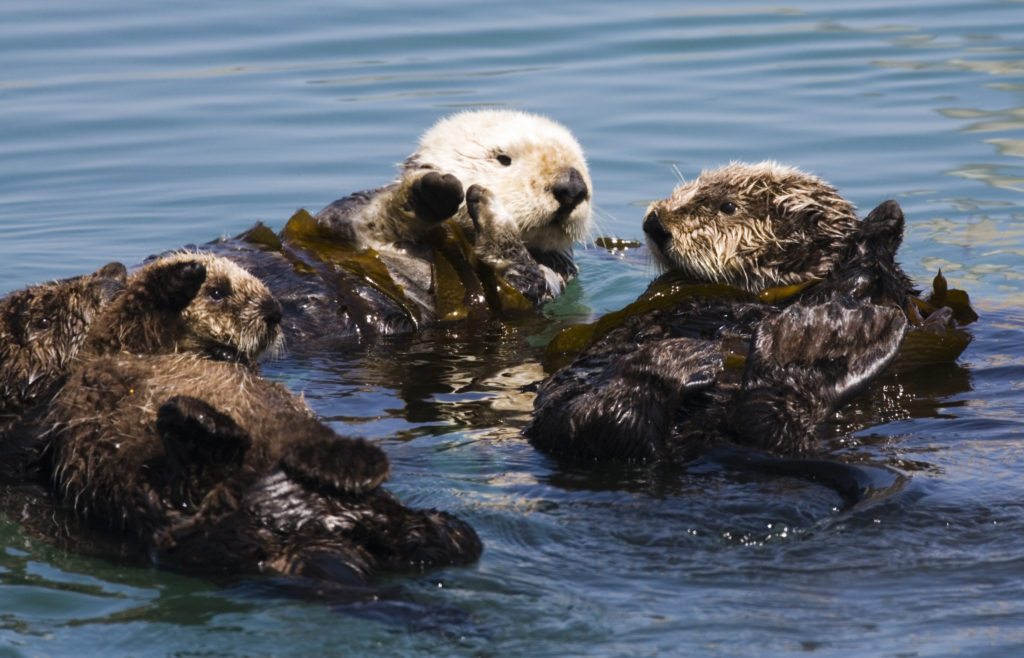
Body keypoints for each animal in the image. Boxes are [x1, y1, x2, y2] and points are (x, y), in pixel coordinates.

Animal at [204, 109, 592, 342]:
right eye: (503, 158)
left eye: (581, 163)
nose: (572, 187)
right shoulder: (340, 222)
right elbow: (361, 215)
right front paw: (429, 193)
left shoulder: (548, 279)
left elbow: (517, 279)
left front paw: (491, 210)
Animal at [527, 163, 968, 496]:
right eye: (685, 189)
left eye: (728, 207)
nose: (654, 224)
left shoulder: (891, 291)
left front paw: (884, 221)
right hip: (560, 423)